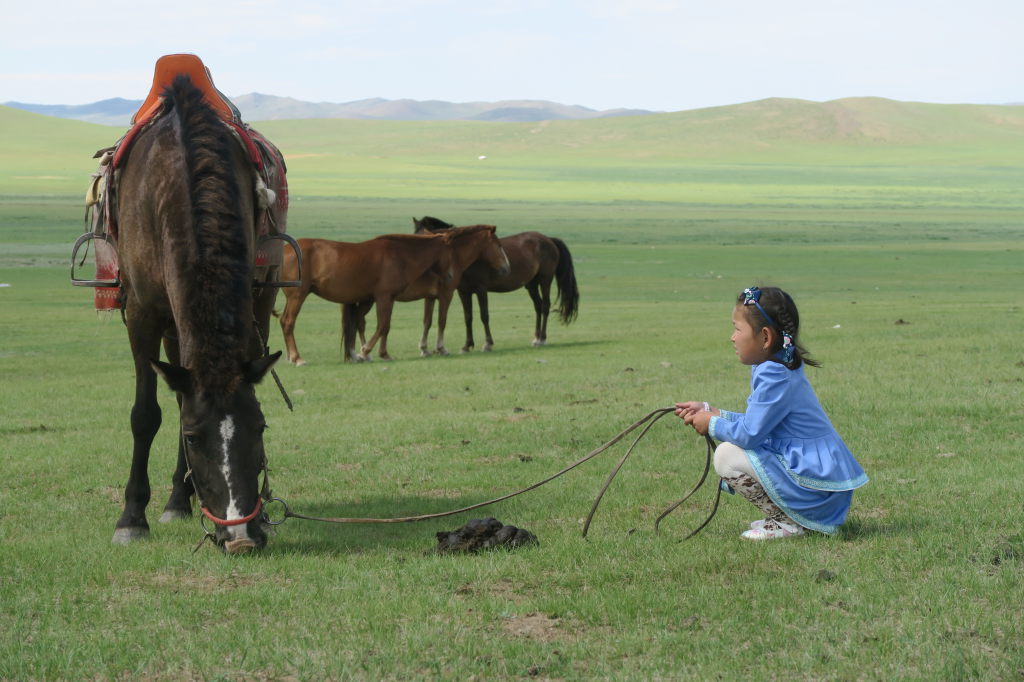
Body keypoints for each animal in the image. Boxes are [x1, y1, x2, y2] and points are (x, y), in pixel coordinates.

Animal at [112, 75, 283, 553]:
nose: (241, 537)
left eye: (260, 426)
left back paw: (178, 499)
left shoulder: (251, 308)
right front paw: (131, 519)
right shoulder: (142, 315)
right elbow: (145, 414)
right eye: (193, 436)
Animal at [343, 224, 511, 360]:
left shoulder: (430, 297)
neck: (453, 255)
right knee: (360, 322)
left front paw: (424, 349)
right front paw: (441, 348)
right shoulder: (446, 294)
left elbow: (427, 322)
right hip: (370, 300)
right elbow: (441, 321)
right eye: (499, 245)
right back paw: (365, 352)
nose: (507, 268)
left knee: (360, 322)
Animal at [413, 217, 579, 352]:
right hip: (531, 284)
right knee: (538, 306)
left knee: (545, 306)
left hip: (545, 280)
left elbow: (484, 316)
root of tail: (549, 240)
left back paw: (542, 339)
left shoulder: (481, 290)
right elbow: (468, 317)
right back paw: (536, 337)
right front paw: (467, 345)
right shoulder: (463, 292)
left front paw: (488, 344)